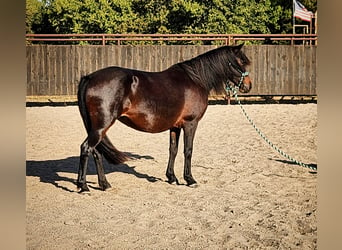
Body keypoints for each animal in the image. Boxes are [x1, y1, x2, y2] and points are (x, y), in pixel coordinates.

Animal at [77, 44, 251, 192]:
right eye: (242, 61)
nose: (248, 86)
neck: (196, 79)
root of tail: (90, 77)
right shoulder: (191, 123)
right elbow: (188, 150)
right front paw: (190, 179)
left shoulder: (175, 126)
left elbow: (173, 150)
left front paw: (172, 177)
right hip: (102, 126)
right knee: (86, 148)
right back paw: (83, 186)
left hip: (97, 127)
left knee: (96, 152)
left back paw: (104, 184)